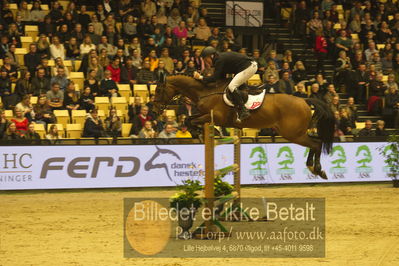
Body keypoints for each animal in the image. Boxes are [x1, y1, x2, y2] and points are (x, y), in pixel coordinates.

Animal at [155, 75, 336, 179]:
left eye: (158, 90)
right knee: (316, 142)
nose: (155, 109)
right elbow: (189, 119)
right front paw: (197, 132)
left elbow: (192, 121)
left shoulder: (215, 117)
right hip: (295, 133)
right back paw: (315, 168)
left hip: (293, 134)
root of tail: (304, 100)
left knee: (316, 144)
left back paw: (317, 169)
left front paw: (199, 132)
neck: (205, 93)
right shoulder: (205, 115)